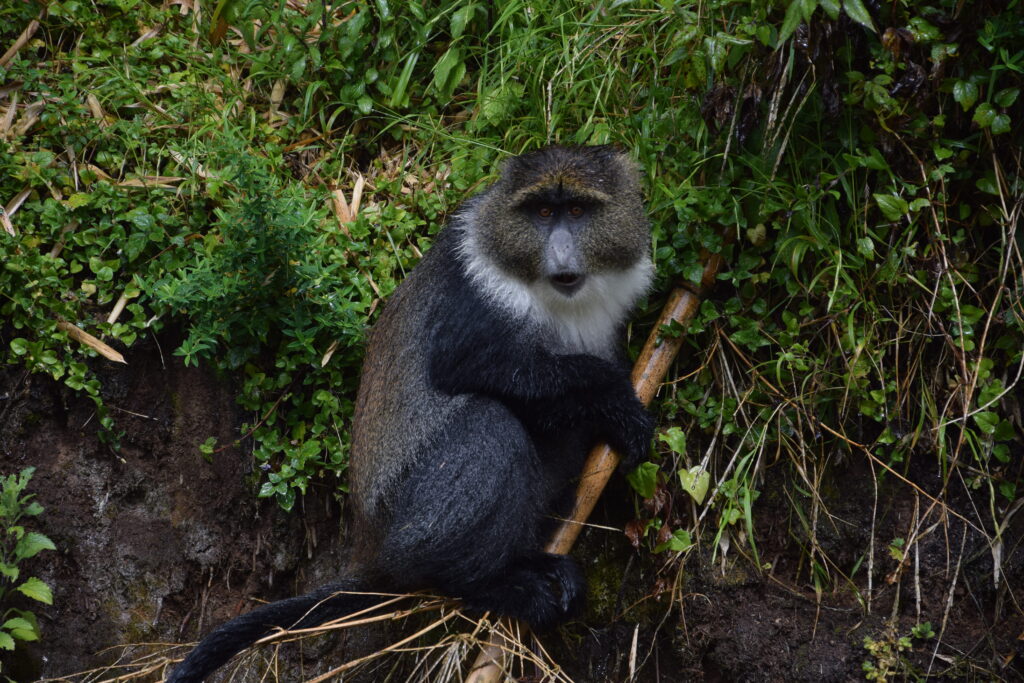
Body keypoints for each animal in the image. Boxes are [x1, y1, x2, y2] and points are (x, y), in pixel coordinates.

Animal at [167, 145, 655, 682]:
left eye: (579, 210)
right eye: (544, 212)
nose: (563, 252)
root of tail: (371, 547)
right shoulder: (476, 303)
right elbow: (482, 369)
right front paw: (616, 399)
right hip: (414, 524)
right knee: (488, 427)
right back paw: (492, 586)